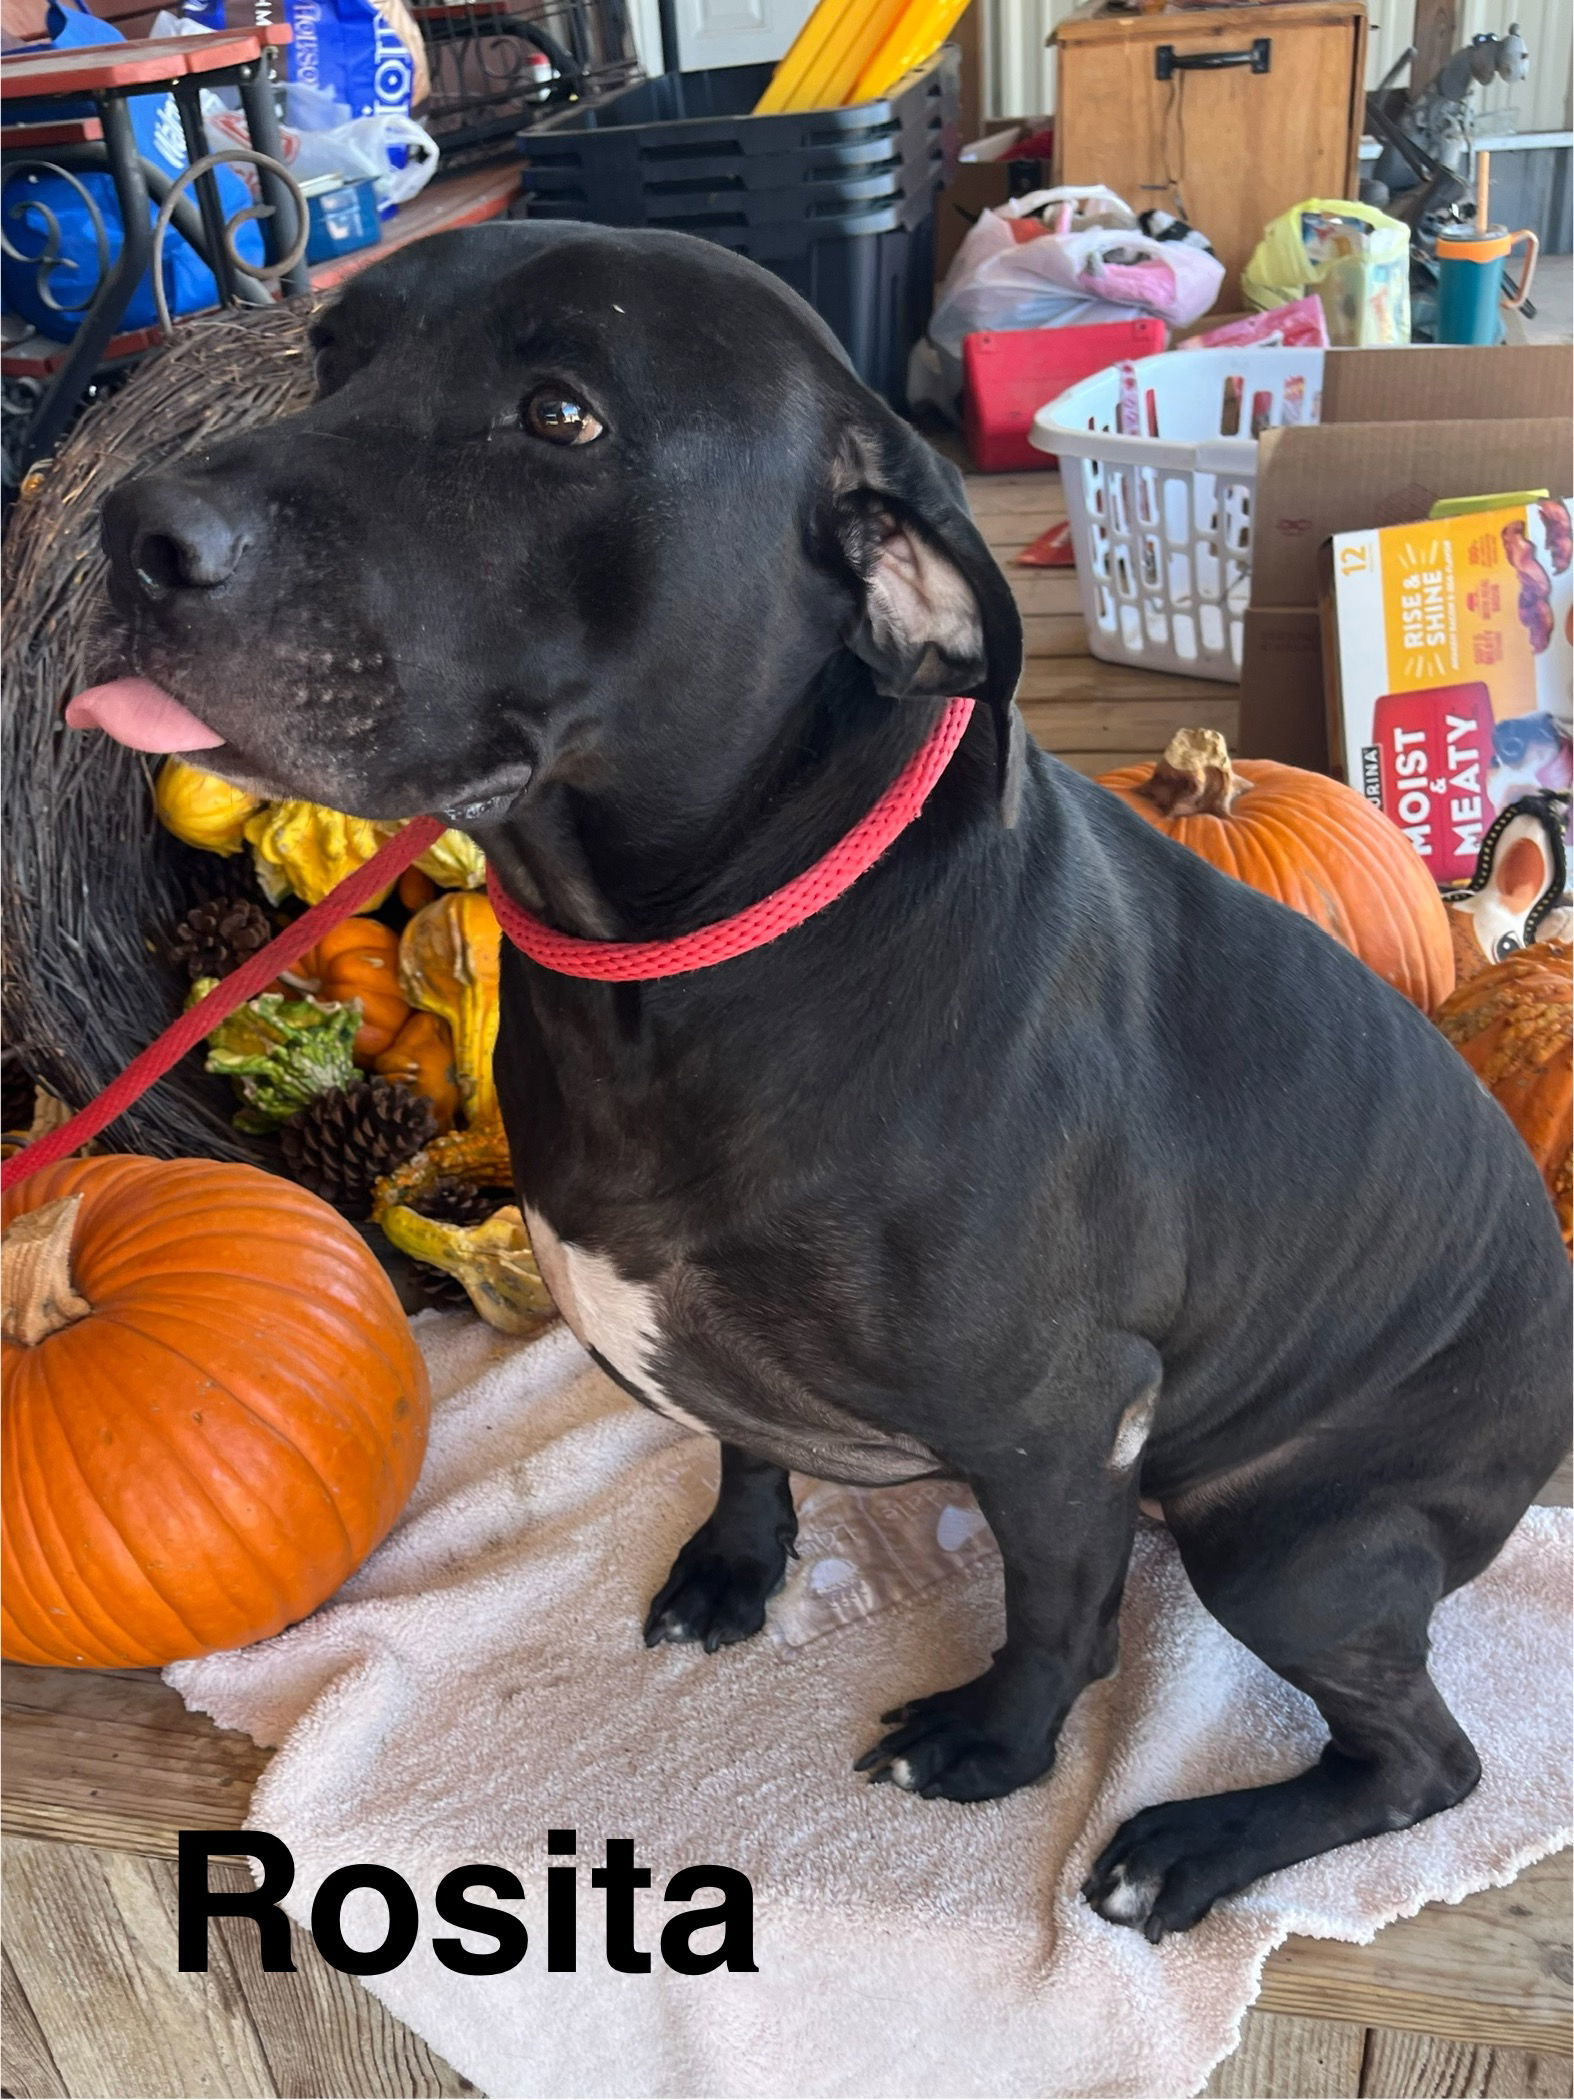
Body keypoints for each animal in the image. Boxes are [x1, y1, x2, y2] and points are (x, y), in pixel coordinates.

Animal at [92, 221, 1569, 1940]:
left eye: (560, 416)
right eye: (334, 354)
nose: (136, 532)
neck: (672, 964)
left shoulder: (1062, 1423)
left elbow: (1056, 1611)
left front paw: (996, 1742)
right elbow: (740, 1441)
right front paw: (737, 1565)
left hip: (1289, 1547)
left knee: (1424, 1762)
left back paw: (1190, 1845)